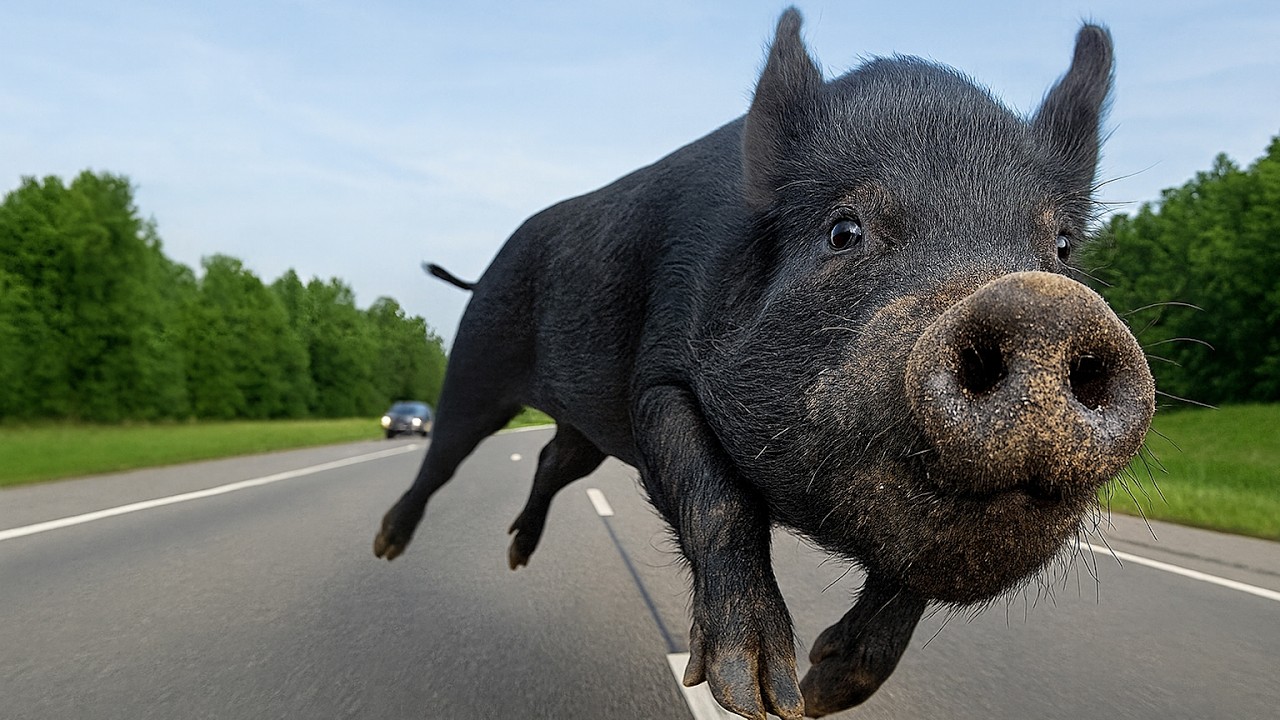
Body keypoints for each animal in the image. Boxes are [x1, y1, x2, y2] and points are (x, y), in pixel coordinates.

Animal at [374, 8, 1155, 719]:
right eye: (843, 231)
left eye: (1061, 247)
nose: (1047, 307)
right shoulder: (656, 381)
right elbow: (721, 496)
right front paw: (756, 694)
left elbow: (911, 568)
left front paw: (822, 693)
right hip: (479, 359)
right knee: (445, 454)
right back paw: (389, 546)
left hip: (586, 431)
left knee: (549, 460)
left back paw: (517, 555)